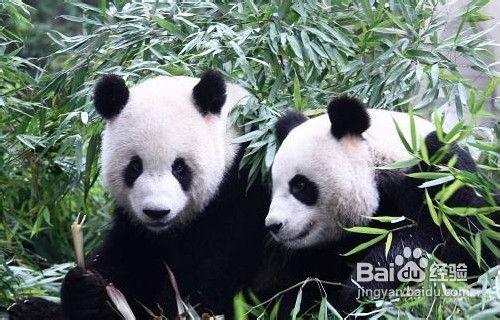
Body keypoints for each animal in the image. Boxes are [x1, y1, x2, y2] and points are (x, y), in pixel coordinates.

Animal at [6, 70, 270, 320]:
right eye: (135, 166)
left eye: (179, 167)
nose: (157, 212)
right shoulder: (134, 224)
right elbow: (125, 264)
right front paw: (85, 291)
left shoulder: (239, 195)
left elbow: (204, 282)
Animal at [260, 95, 494, 316]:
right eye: (273, 186)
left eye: (299, 185)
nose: (273, 225)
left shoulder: (440, 174)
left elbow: (436, 240)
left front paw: (360, 290)